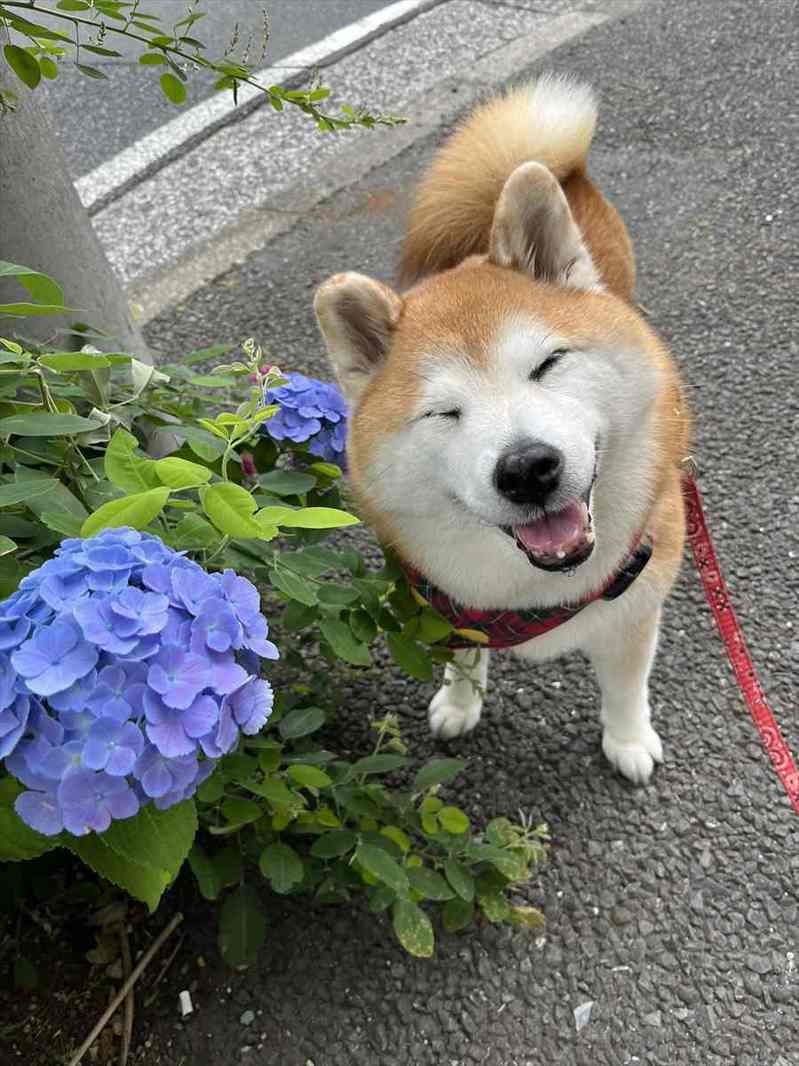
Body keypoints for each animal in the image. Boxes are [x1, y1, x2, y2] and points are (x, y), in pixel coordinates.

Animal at [315, 70, 690, 780]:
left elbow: (627, 687)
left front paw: (628, 740)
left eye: (548, 364)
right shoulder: (445, 605)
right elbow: (464, 660)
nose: (527, 469)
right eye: (444, 413)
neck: (539, 591)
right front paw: (460, 704)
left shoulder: (636, 608)